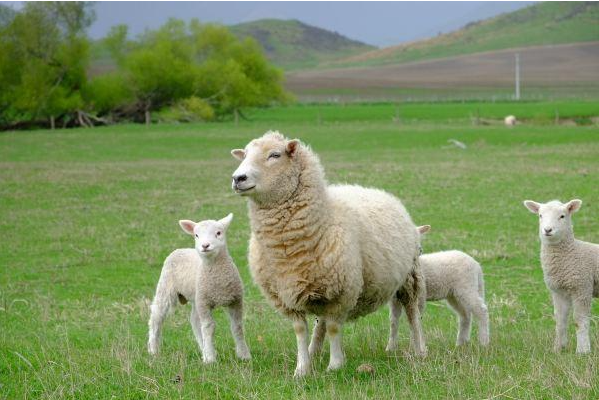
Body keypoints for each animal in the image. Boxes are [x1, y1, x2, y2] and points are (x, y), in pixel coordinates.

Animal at [148, 214, 251, 364]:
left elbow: (237, 327)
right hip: (166, 287)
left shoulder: (235, 300)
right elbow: (209, 327)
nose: (205, 245)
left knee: (195, 321)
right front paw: (210, 359)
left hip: (197, 297)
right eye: (196, 235)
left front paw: (244, 354)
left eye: (218, 233)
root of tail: (180, 249)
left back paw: (203, 349)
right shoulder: (205, 303)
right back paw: (153, 350)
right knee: (156, 317)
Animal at [231, 132, 426, 378]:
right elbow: (300, 330)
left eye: (275, 155)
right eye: (244, 154)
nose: (238, 178)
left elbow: (334, 328)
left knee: (413, 314)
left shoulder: (341, 292)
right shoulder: (287, 295)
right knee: (320, 323)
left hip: (410, 278)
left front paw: (335, 365)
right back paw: (314, 350)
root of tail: (380, 192)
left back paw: (420, 350)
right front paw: (302, 368)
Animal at [524, 200, 599, 354]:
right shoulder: (559, 291)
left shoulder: (582, 287)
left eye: (562, 216)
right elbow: (560, 319)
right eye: (540, 215)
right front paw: (558, 348)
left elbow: (579, 320)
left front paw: (583, 350)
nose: (547, 230)